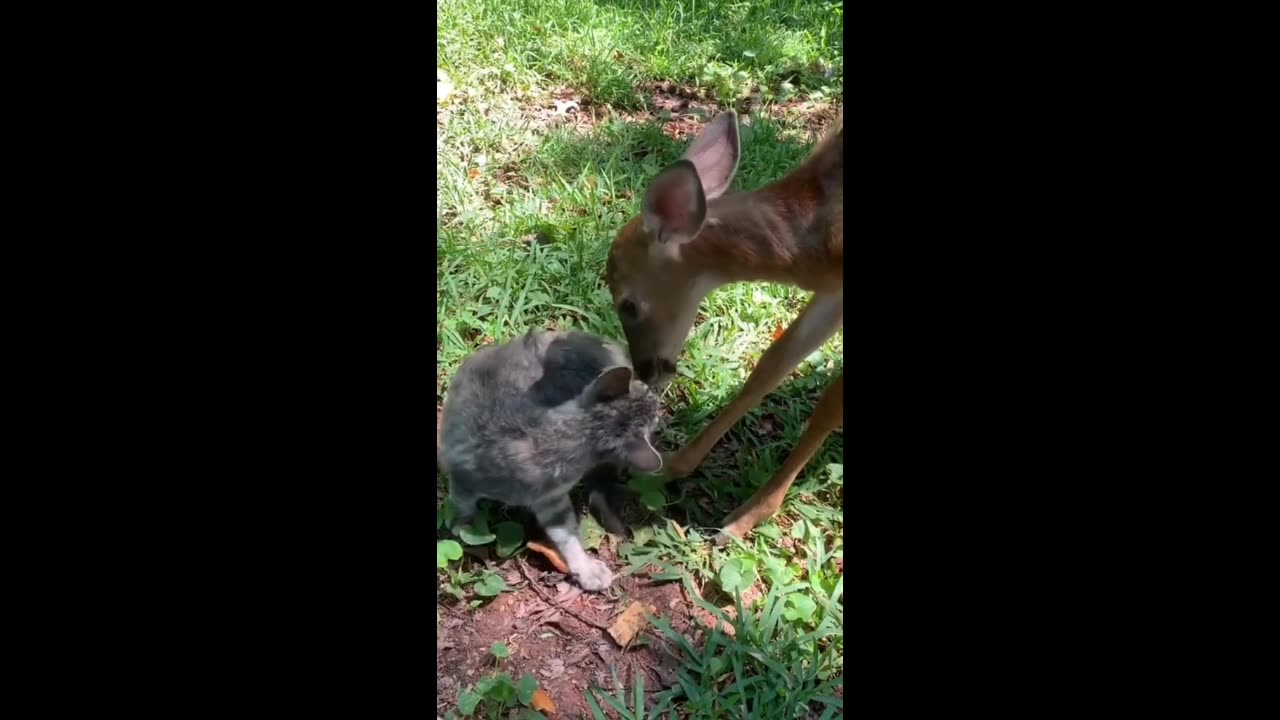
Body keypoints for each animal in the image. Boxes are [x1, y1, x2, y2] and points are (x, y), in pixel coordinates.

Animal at [437, 330, 660, 589]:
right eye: (647, 394)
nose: (658, 397)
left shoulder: (551, 499)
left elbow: (566, 533)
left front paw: (586, 568)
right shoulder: (464, 472)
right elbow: (462, 504)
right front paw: (461, 524)